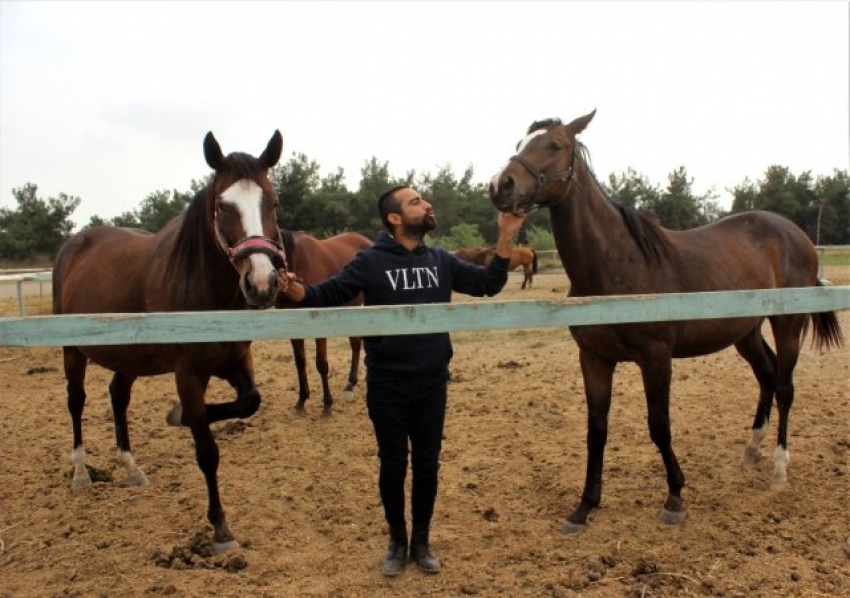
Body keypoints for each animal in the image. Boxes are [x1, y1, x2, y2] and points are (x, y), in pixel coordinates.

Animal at [53, 129, 284, 556]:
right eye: (223, 206)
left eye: (272, 202)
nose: (261, 284)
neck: (201, 285)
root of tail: (75, 244)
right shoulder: (188, 372)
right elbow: (207, 450)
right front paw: (221, 529)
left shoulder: (236, 360)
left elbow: (249, 401)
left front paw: (177, 416)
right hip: (72, 352)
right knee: (76, 402)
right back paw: (80, 474)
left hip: (128, 359)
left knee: (118, 397)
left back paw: (131, 468)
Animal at [278, 230, 372, 418]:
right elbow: (300, 363)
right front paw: (301, 401)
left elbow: (321, 364)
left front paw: (327, 406)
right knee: (356, 343)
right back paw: (351, 384)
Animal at [486, 111, 840, 536]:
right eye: (521, 145)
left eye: (555, 145)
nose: (500, 185)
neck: (617, 265)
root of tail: (795, 233)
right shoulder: (594, 359)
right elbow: (596, 429)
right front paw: (584, 506)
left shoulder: (656, 357)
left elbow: (659, 425)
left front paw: (675, 498)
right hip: (746, 332)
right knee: (767, 377)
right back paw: (751, 449)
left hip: (788, 323)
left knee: (785, 387)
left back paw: (778, 469)